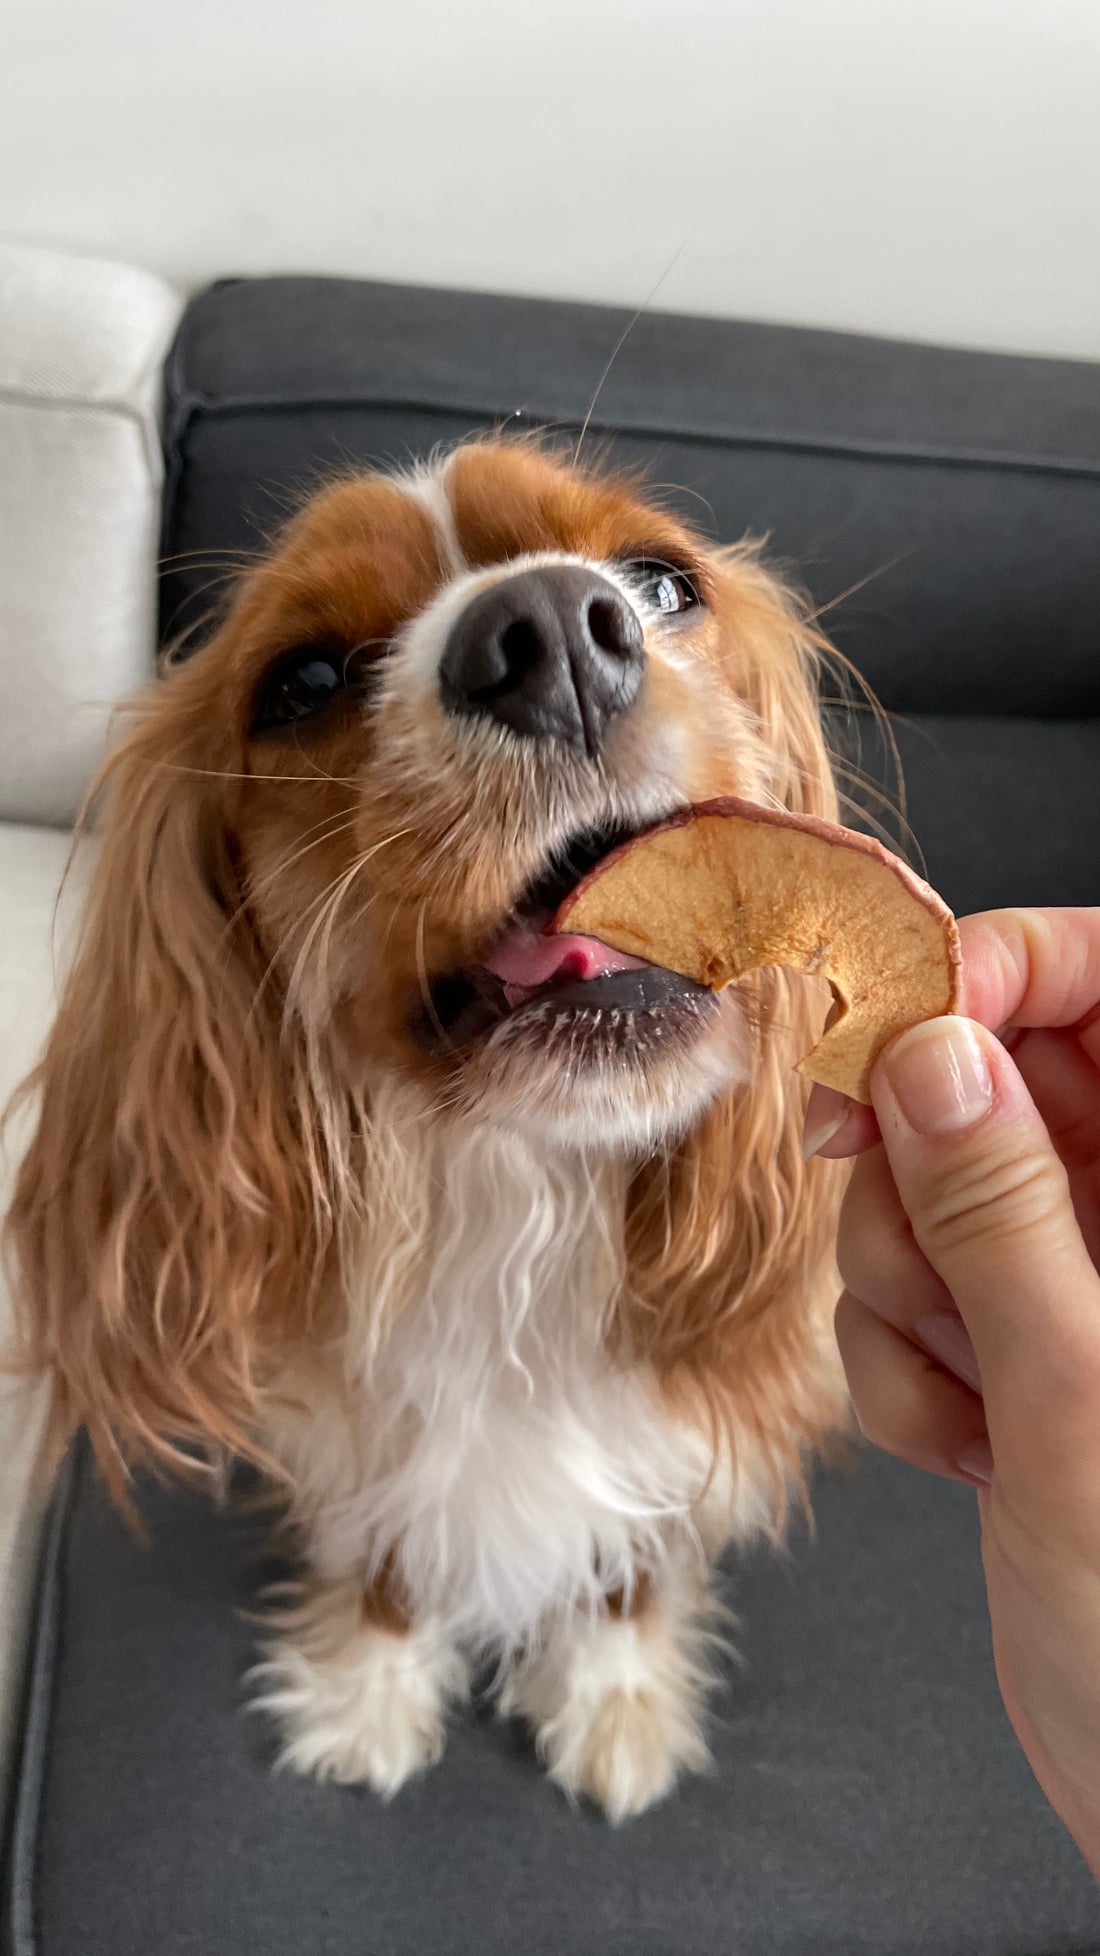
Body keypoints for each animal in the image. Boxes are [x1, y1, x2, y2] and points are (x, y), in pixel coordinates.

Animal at [4, 440, 841, 1815]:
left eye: (662, 582)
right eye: (301, 681)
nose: (551, 630)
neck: (520, 1188)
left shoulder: (668, 1432)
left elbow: (628, 1567)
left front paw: (614, 1698)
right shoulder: (366, 1442)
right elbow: (395, 1559)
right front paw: (367, 1695)